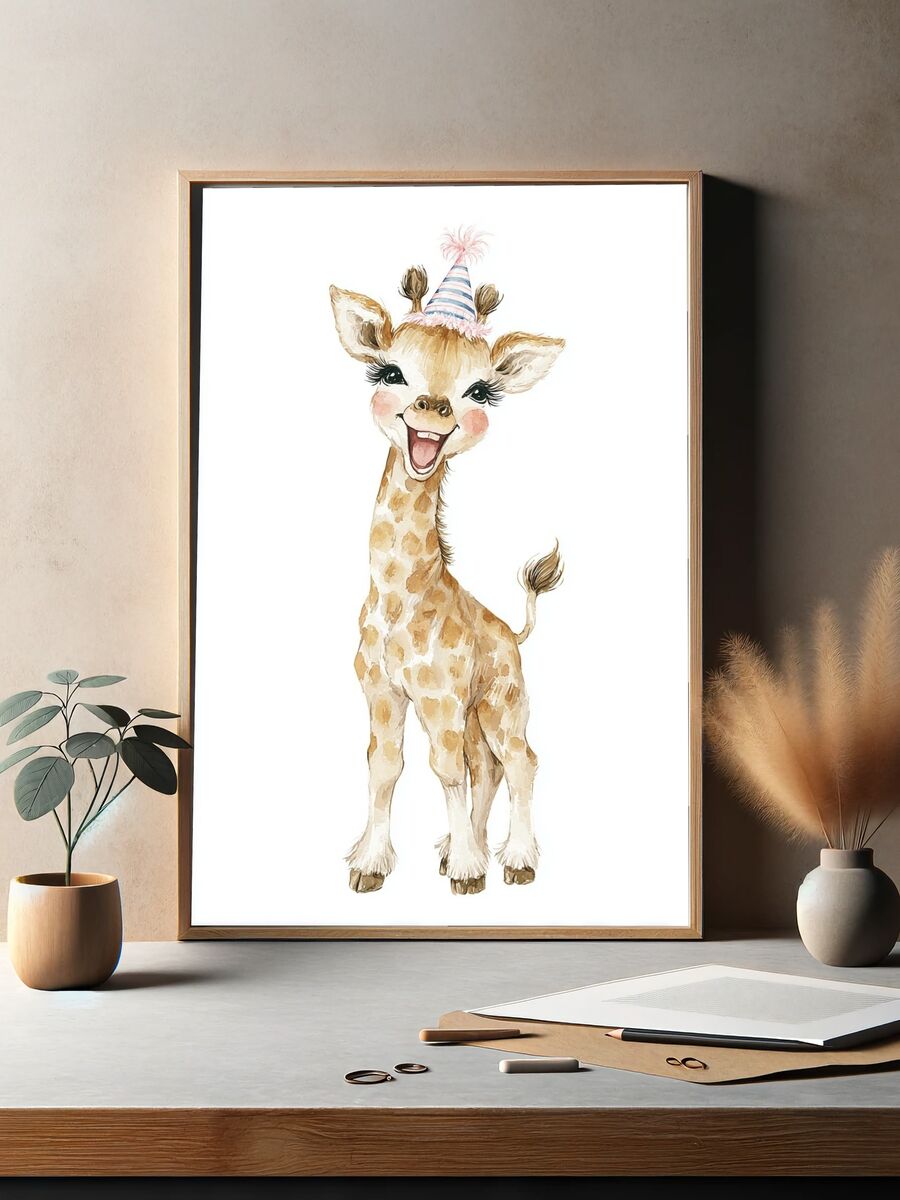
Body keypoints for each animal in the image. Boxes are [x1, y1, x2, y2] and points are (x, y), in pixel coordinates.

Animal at [330, 230, 564, 895]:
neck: (397, 598)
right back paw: (459, 848)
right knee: (487, 764)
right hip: (478, 708)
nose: (433, 409)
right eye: (389, 372)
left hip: (502, 700)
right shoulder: (380, 688)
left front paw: (466, 873)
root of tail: (513, 632)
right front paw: (369, 864)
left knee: (519, 760)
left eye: (480, 391)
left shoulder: (438, 694)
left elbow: (444, 768)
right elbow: (385, 765)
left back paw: (514, 861)